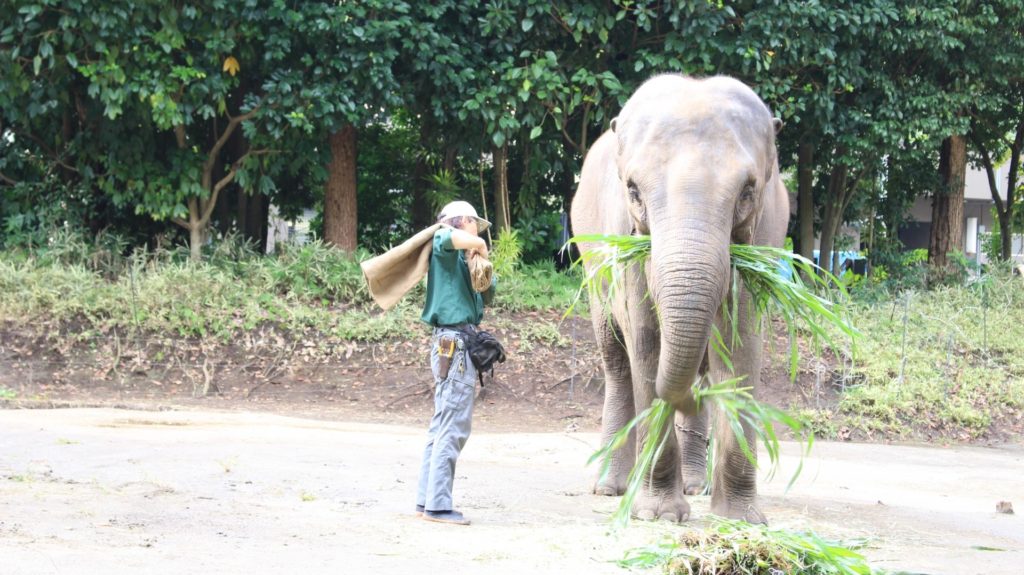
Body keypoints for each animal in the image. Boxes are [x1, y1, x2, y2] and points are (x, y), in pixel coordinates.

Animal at [573, 73, 786, 521]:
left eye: (748, 191)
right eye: (633, 190)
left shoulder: (765, 235)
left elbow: (740, 347)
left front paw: (740, 518)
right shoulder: (628, 248)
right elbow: (646, 344)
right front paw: (660, 515)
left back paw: (696, 485)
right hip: (593, 268)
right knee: (617, 362)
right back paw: (611, 488)